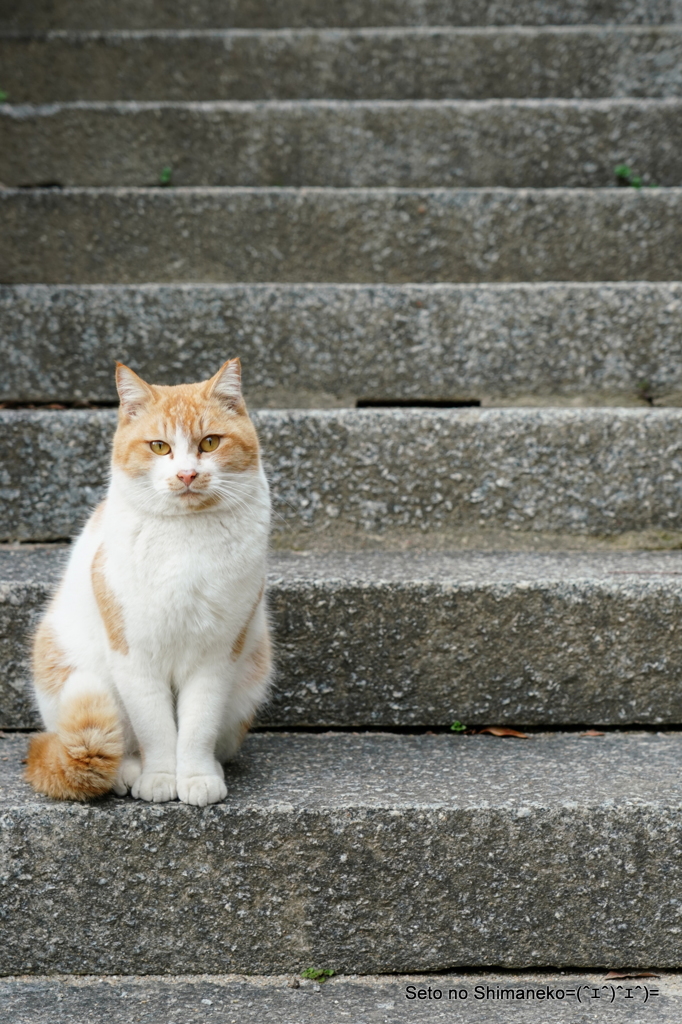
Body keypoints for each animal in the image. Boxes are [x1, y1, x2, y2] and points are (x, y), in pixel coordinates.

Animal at [26, 360, 270, 806]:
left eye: (210, 443)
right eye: (159, 447)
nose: (187, 473)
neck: (185, 538)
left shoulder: (217, 655)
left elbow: (197, 725)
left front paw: (195, 776)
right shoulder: (133, 655)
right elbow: (155, 727)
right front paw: (159, 777)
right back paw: (127, 771)